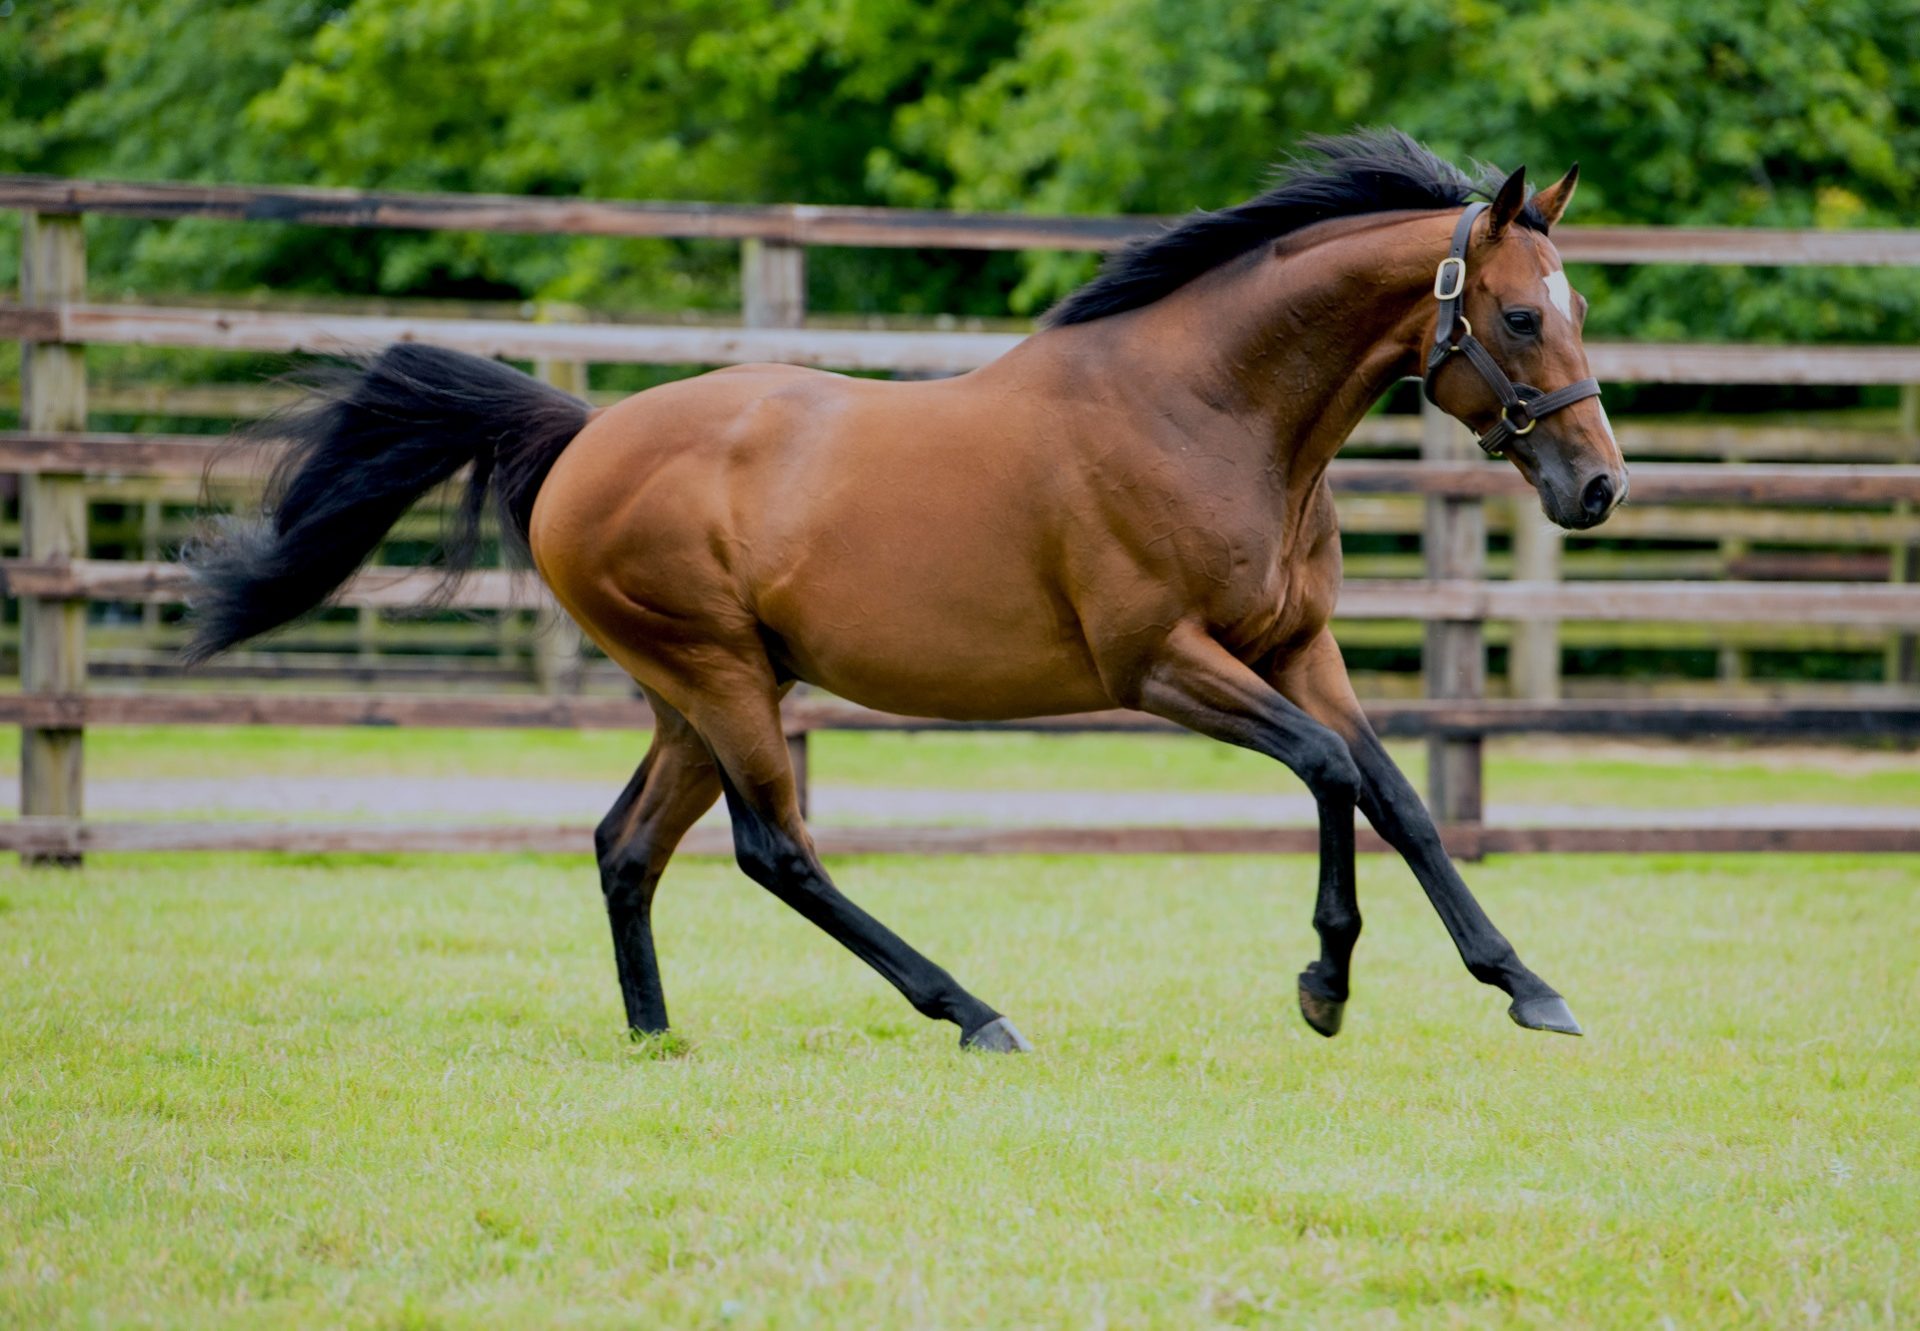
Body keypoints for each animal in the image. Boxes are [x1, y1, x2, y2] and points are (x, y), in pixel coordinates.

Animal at [187, 132, 1628, 1052]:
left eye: (1576, 312)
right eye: (1518, 317)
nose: (1599, 485)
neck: (1210, 411)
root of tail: (583, 436)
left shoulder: (1297, 645)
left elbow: (1398, 797)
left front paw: (1529, 985)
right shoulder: (1160, 662)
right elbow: (1329, 773)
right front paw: (1325, 980)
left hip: (699, 691)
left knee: (627, 845)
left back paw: (656, 1036)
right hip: (720, 677)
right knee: (774, 847)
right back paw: (972, 1011)